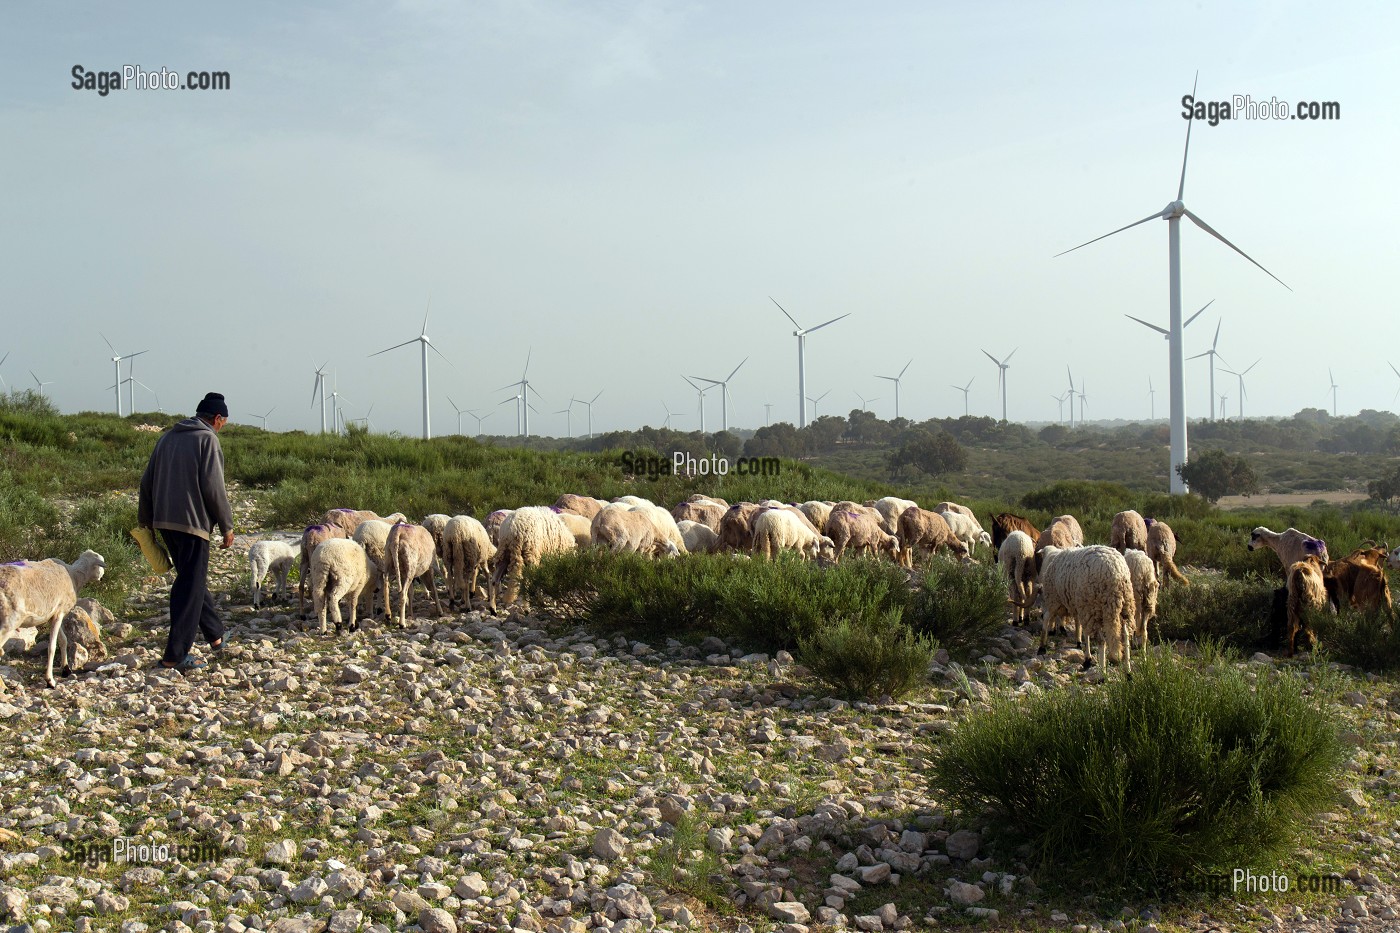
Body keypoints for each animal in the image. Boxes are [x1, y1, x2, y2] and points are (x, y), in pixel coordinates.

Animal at [1, 546, 106, 683]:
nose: (102, 578)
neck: (74, 576)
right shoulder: (59, 613)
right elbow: (52, 646)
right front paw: (49, 680)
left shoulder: (53, 615)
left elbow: (63, 640)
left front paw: (66, 668)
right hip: (9, 621)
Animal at [1036, 540, 1131, 672]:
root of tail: (1116, 573)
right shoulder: (1081, 606)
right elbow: (1083, 630)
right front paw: (1086, 655)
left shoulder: (1055, 598)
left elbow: (1047, 618)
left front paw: (1042, 646)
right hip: (1124, 606)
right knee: (1125, 636)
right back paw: (1128, 671)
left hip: (1094, 605)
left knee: (1101, 640)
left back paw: (1103, 673)